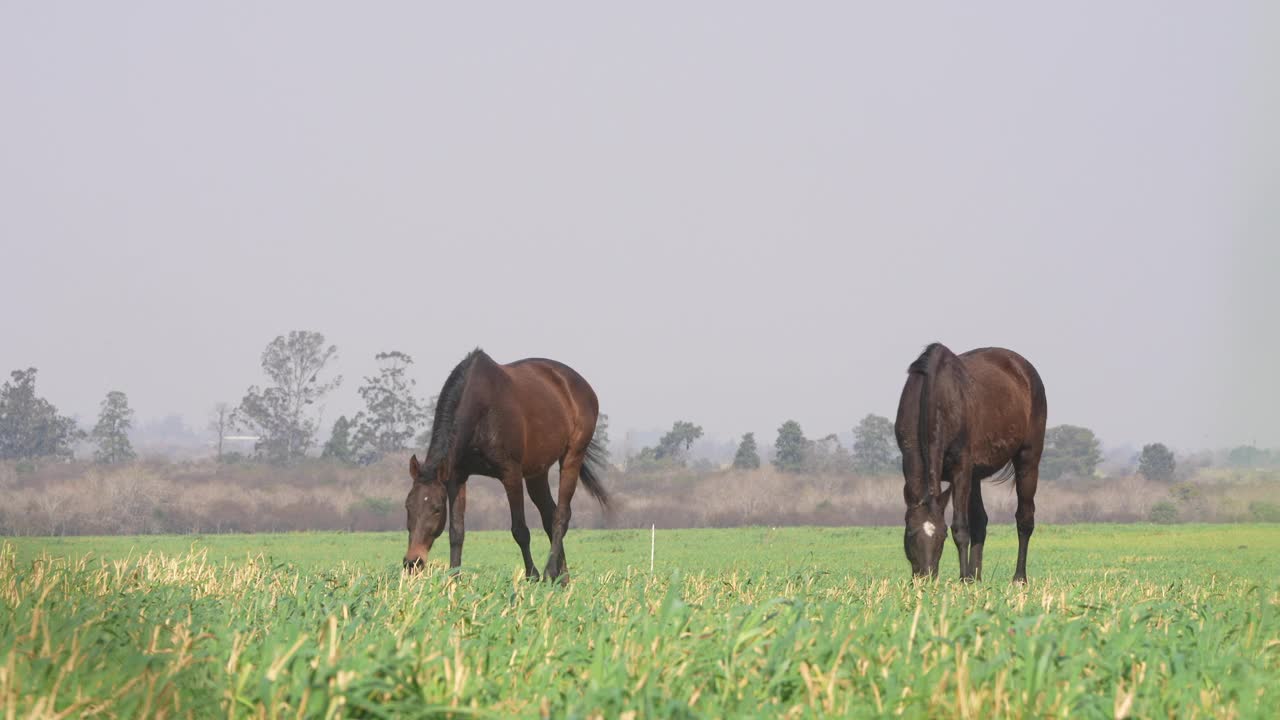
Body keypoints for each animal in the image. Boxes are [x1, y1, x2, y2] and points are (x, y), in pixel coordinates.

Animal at [407, 345, 611, 576]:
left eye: (436, 509)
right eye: (408, 506)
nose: (413, 561)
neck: (482, 410)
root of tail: (582, 387)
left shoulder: (511, 474)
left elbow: (520, 530)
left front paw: (533, 575)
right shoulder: (457, 476)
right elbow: (456, 531)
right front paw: (454, 578)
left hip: (572, 457)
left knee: (561, 515)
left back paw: (550, 572)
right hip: (537, 472)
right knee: (549, 515)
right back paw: (563, 577)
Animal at [896, 338, 1044, 579]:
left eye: (942, 536)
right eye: (910, 533)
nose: (926, 577)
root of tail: (1024, 369)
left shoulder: (961, 469)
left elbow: (960, 527)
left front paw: (963, 578)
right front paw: (968, 578)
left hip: (1028, 460)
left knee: (1024, 518)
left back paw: (1019, 579)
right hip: (975, 476)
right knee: (980, 521)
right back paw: (976, 578)